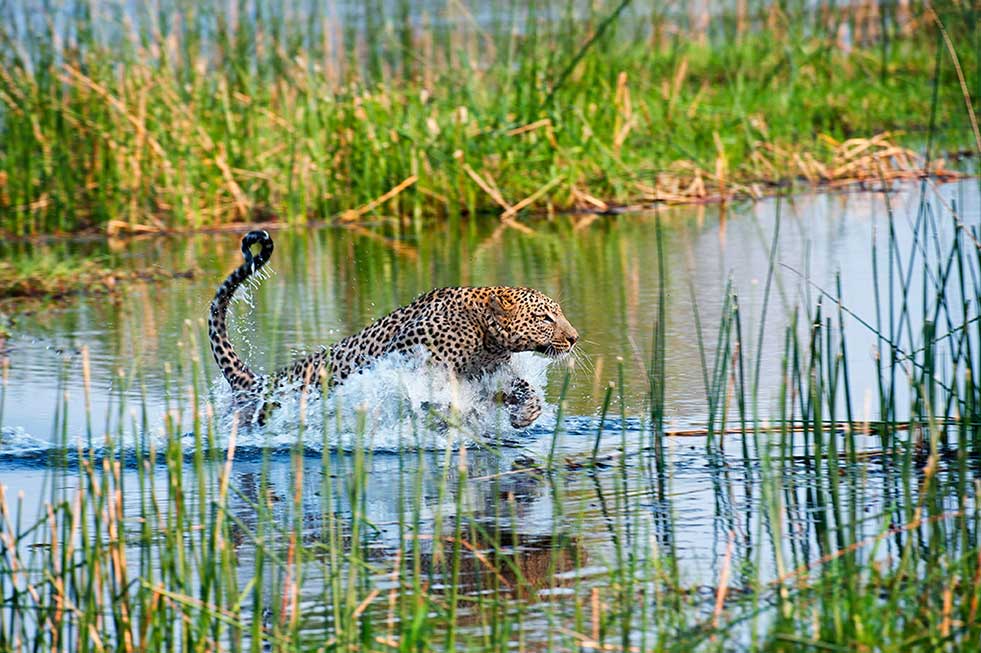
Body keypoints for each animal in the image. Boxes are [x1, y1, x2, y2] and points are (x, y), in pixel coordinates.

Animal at [208, 230, 579, 429]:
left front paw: (526, 414)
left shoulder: (490, 373)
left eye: (559, 314)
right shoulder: (415, 363)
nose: (574, 337)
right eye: (545, 318)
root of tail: (257, 380)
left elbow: (521, 387)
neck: (483, 338)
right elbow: (430, 398)